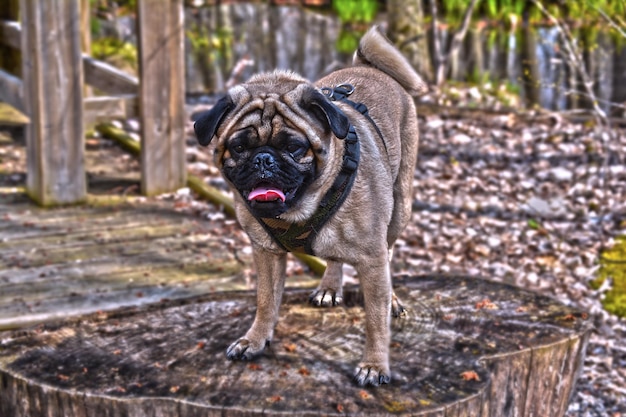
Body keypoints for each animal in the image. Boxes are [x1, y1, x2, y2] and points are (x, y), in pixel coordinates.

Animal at [191, 25, 424, 384]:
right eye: (239, 147)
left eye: (294, 147)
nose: (264, 159)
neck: (300, 209)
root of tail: (369, 67)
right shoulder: (266, 253)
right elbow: (266, 301)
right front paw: (255, 339)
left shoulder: (372, 261)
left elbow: (375, 318)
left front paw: (375, 364)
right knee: (335, 258)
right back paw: (329, 286)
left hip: (400, 208)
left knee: (389, 250)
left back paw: (392, 299)